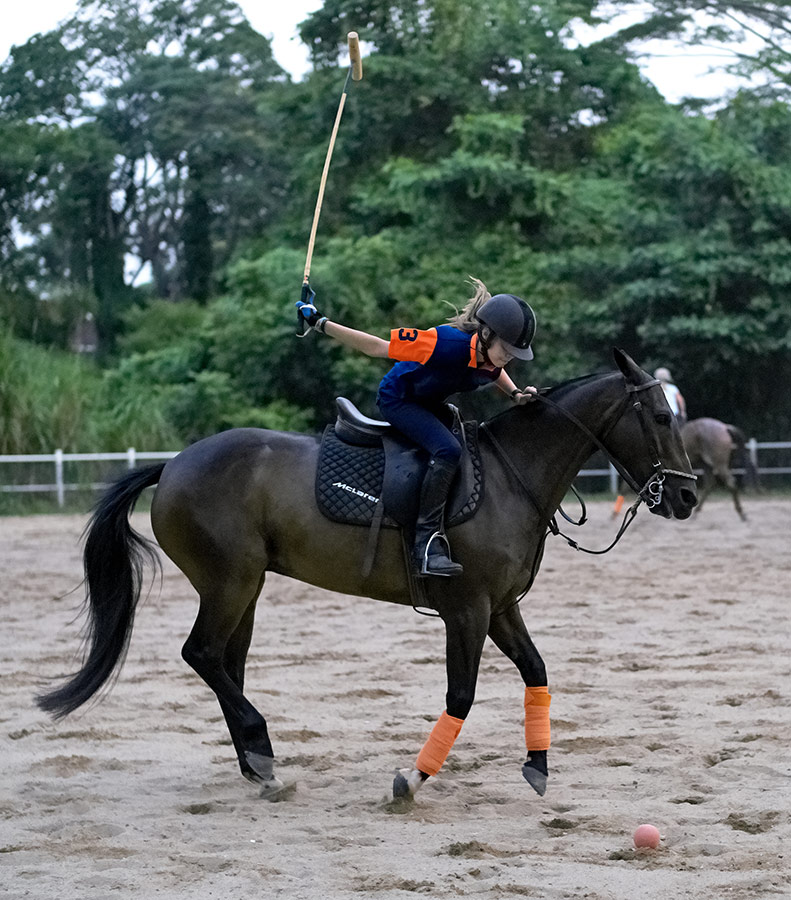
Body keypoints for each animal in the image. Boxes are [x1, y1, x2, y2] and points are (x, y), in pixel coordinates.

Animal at [37, 350, 696, 800]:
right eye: (663, 417)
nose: (688, 498)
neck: (512, 476)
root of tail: (172, 464)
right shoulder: (468, 611)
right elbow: (461, 694)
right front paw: (414, 777)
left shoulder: (501, 607)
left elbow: (536, 671)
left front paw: (537, 765)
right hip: (231, 581)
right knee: (201, 654)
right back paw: (260, 751)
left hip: (244, 588)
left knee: (226, 662)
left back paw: (256, 763)